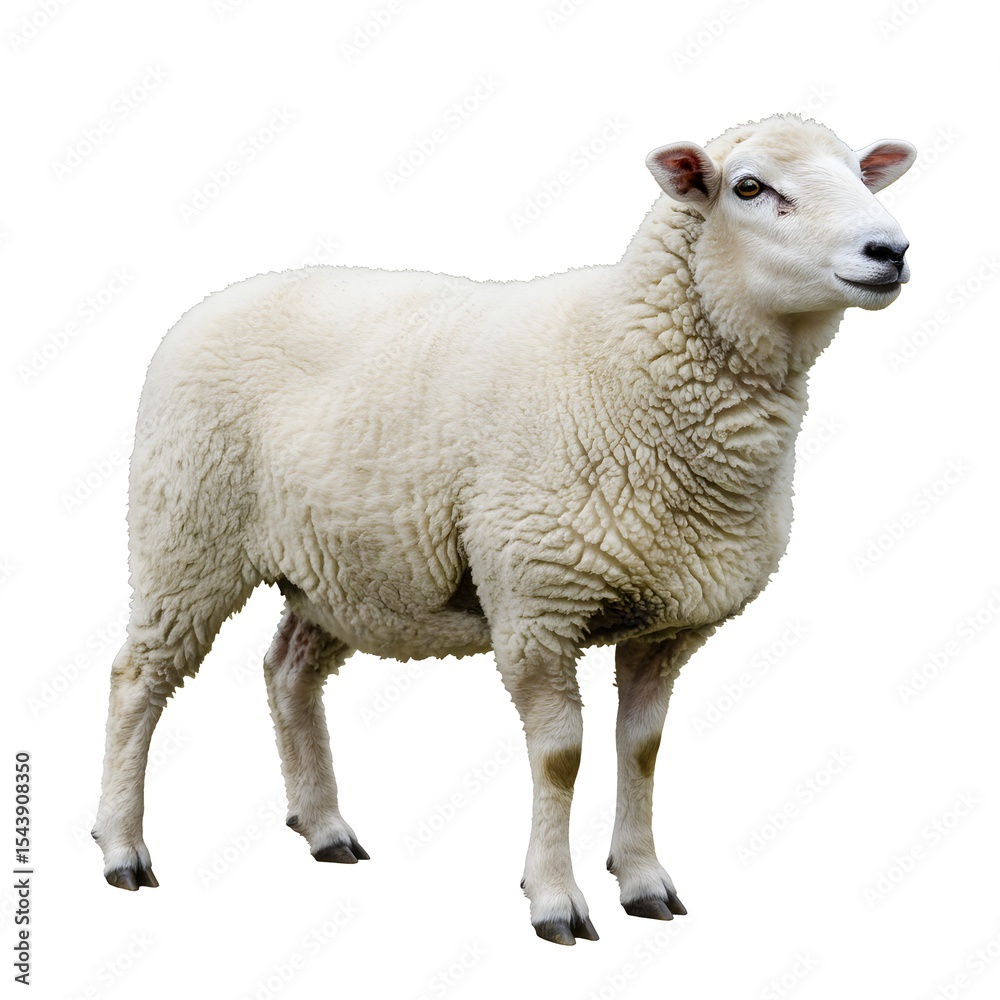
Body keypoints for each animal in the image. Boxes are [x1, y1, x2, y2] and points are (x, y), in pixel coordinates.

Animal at [93, 114, 914, 944]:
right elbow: (560, 757)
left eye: (859, 175)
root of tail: (217, 299)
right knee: (138, 678)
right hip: (187, 533)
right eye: (748, 187)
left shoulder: (668, 622)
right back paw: (123, 848)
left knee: (287, 670)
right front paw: (555, 899)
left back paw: (323, 828)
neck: (629, 364)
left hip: (343, 567)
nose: (891, 251)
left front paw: (643, 881)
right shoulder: (536, 606)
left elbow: (642, 751)